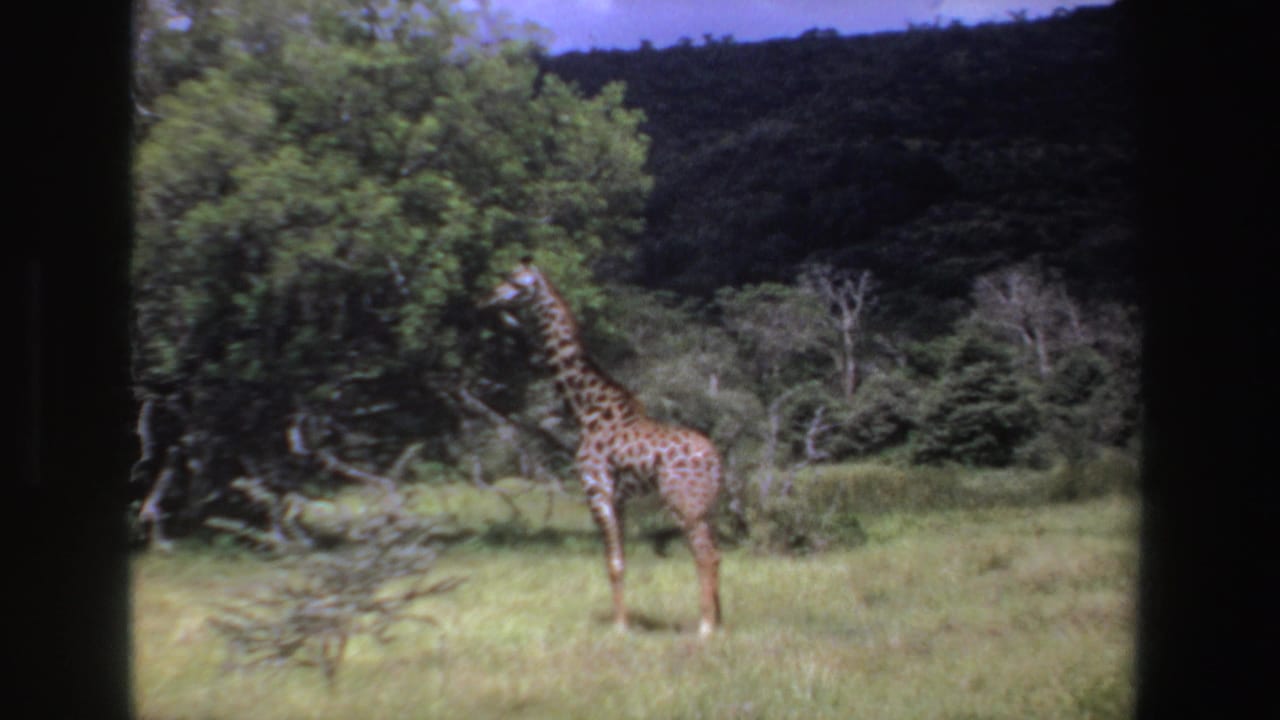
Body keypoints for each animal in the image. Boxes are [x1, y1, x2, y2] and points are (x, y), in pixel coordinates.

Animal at [483, 259, 723, 637]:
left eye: (513, 282)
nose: (487, 298)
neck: (586, 409)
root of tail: (715, 459)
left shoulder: (597, 490)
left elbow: (613, 562)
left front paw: (620, 627)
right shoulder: (619, 499)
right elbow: (621, 559)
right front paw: (623, 622)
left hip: (683, 503)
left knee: (705, 555)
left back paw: (705, 628)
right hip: (707, 505)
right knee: (717, 552)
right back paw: (720, 621)